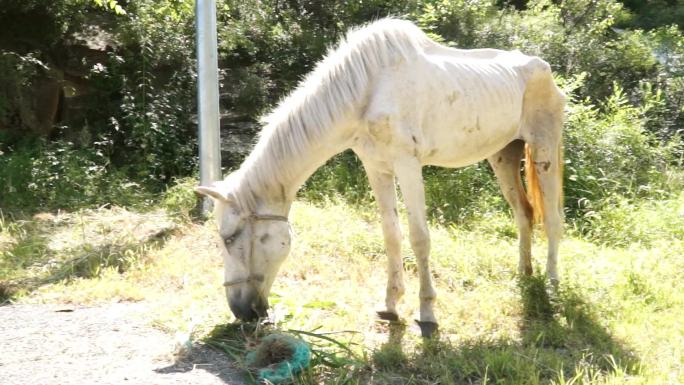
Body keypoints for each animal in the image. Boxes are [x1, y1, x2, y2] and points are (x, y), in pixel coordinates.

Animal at [195, 18, 564, 336]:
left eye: (229, 238)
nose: (241, 312)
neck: (368, 89)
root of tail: (545, 71)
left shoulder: (408, 164)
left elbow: (419, 237)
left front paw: (427, 313)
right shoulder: (377, 168)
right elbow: (391, 235)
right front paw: (390, 305)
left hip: (544, 149)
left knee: (553, 219)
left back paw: (552, 284)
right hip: (503, 156)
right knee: (524, 214)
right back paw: (524, 274)